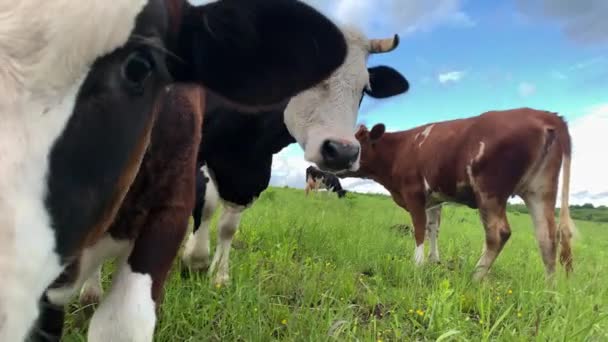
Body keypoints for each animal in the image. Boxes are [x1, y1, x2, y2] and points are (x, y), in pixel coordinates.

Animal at [346, 107, 576, 280]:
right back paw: (549, 292)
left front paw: (417, 264)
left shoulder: (414, 192)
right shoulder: (434, 199)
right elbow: (433, 228)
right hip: (540, 190)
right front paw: (434, 261)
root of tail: (544, 114)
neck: (400, 149)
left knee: (498, 233)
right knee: (547, 237)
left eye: (357, 141)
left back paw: (475, 277)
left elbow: (419, 229)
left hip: (490, 190)